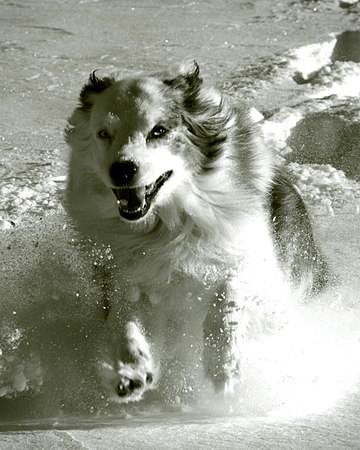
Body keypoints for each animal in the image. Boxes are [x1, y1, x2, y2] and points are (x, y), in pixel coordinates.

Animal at [64, 62, 330, 404]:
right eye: (104, 134)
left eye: (158, 131)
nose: (121, 170)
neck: (165, 226)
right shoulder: (123, 277)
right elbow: (124, 323)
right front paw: (132, 369)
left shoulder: (262, 274)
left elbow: (228, 292)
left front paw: (222, 365)